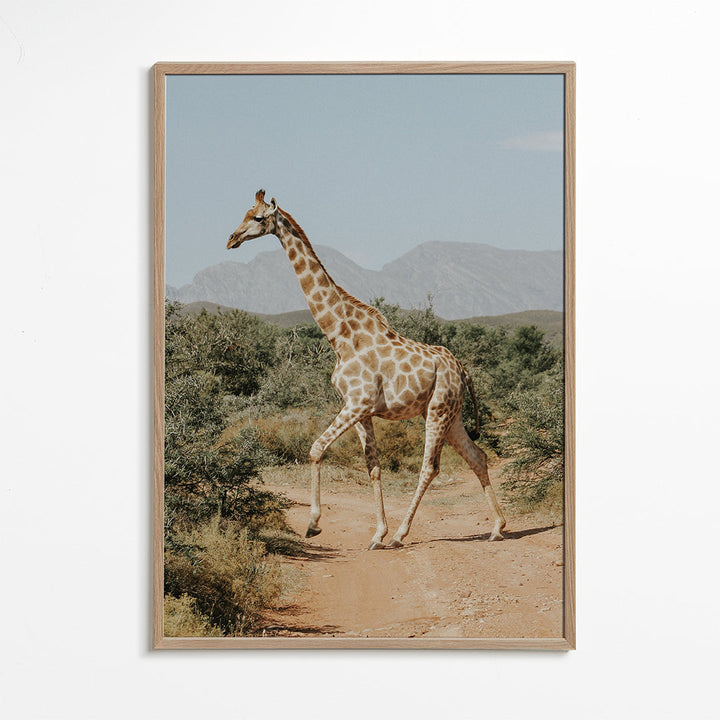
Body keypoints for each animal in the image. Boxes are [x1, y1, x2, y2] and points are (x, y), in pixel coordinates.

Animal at [227, 190, 506, 549]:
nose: (232, 239)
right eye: (245, 213)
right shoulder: (361, 410)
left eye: (259, 218)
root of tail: (461, 369)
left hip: (438, 410)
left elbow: (316, 449)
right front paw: (377, 533)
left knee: (430, 467)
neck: (340, 336)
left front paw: (314, 524)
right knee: (477, 456)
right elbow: (373, 467)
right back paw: (497, 527)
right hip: (452, 414)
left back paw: (402, 535)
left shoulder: (357, 403)